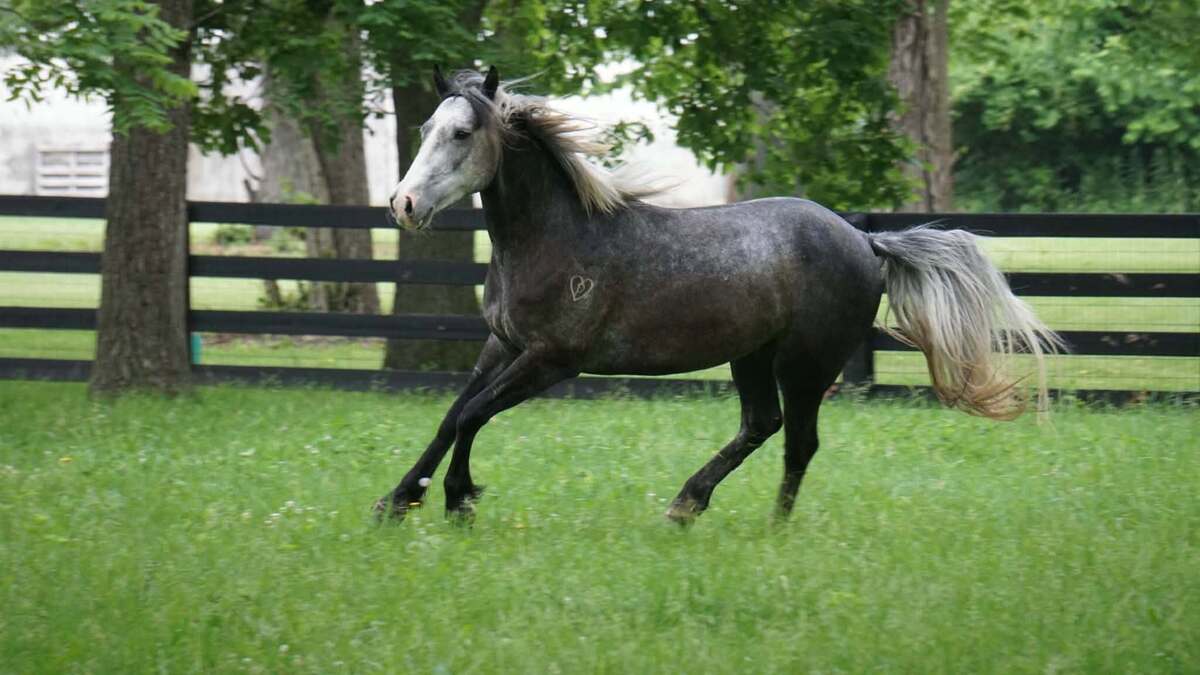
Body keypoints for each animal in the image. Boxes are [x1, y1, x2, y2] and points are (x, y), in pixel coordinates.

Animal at [376, 67, 1062, 525]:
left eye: (463, 133)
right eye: (426, 125)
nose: (402, 204)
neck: (556, 237)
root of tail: (866, 240)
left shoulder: (551, 359)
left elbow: (473, 414)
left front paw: (458, 499)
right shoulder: (501, 345)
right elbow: (452, 416)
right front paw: (398, 499)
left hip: (807, 364)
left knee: (798, 441)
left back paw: (771, 529)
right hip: (752, 356)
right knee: (762, 424)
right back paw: (687, 504)